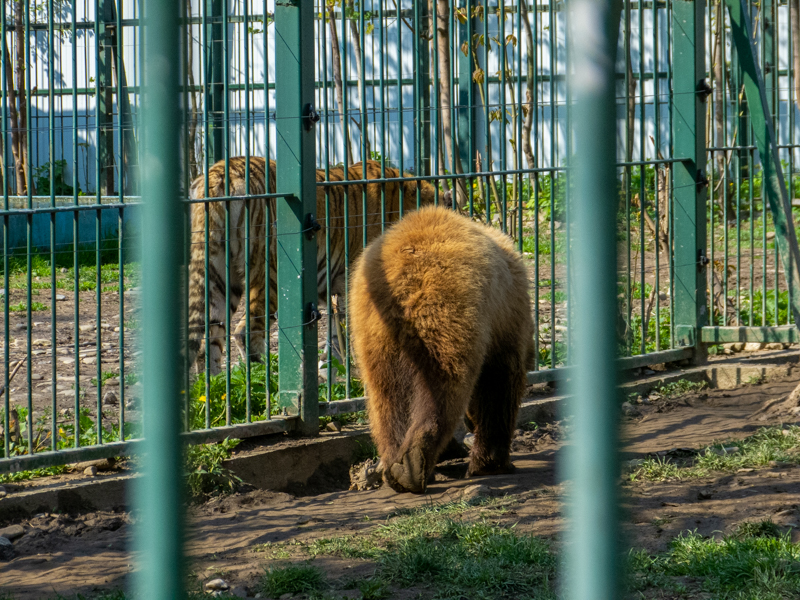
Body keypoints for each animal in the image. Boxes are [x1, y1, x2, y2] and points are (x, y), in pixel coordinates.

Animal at [186, 157, 440, 375]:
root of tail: (219, 172)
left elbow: (336, 338)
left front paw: (329, 375)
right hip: (271, 274)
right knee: (245, 332)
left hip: (217, 276)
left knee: (207, 340)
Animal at [349, 205, 534, 493]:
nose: (469, 424)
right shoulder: (505, 321)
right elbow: (498, 386)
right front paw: (492, 463)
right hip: (446, 311)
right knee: (443, 386)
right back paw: (415, 462)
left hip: (374, 333)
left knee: (388, 398)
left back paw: (397, 468)